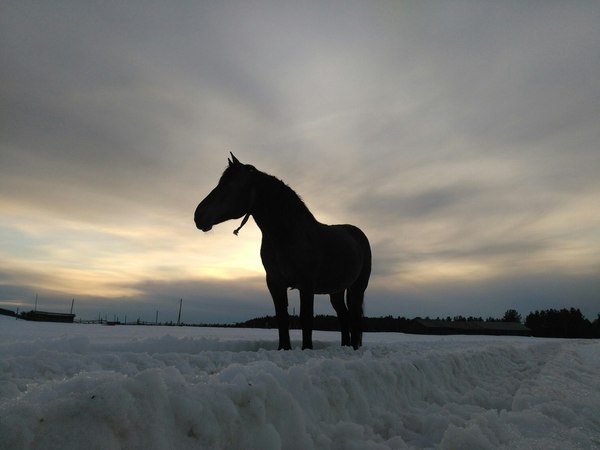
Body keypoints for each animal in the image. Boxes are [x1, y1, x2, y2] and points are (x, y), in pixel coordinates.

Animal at [195, 153, 370, 350]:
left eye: (229, 185)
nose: (198, 216)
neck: (287, 234)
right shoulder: (275, 283)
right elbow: (282, 318)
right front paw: (283, 348)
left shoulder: (306, 285)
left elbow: (306, 319)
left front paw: (306, 349)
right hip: (337, 291)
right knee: (344, 317)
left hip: (357, 287)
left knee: (354, 317)